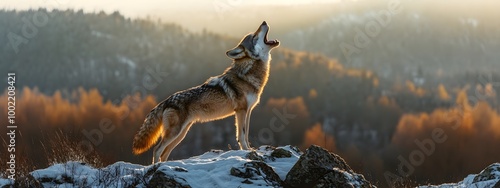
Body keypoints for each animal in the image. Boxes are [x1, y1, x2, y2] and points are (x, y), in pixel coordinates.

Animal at [132, 20, 282, 163]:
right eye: (254, 36)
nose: (264, 22)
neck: (247, 74)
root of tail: (165, 101)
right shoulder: (241, 110)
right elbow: (241, 135)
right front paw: (246, 151)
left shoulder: (248, 111)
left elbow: (246, 133)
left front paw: (250, 149)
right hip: (175, 133)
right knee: (157, 150)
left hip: (181, 134)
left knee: (164, 153)